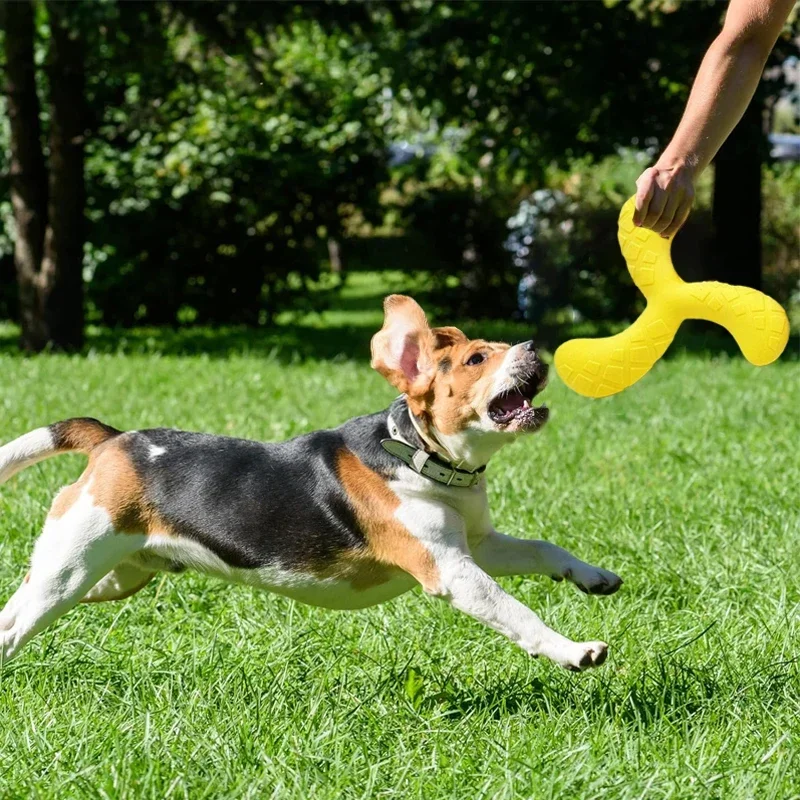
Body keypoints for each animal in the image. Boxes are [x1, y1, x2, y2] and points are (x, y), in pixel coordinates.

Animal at [0, 296, 620, 668]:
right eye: (476, 359)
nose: (536, 346)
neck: (422, 459)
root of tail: (113, 440)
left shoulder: (479, 546)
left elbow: (542, 547)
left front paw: (593, 576)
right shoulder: (452, 571)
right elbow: (518, 612)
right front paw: (572, 650)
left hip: (110, 577)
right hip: (70, 569)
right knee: (14, 627)